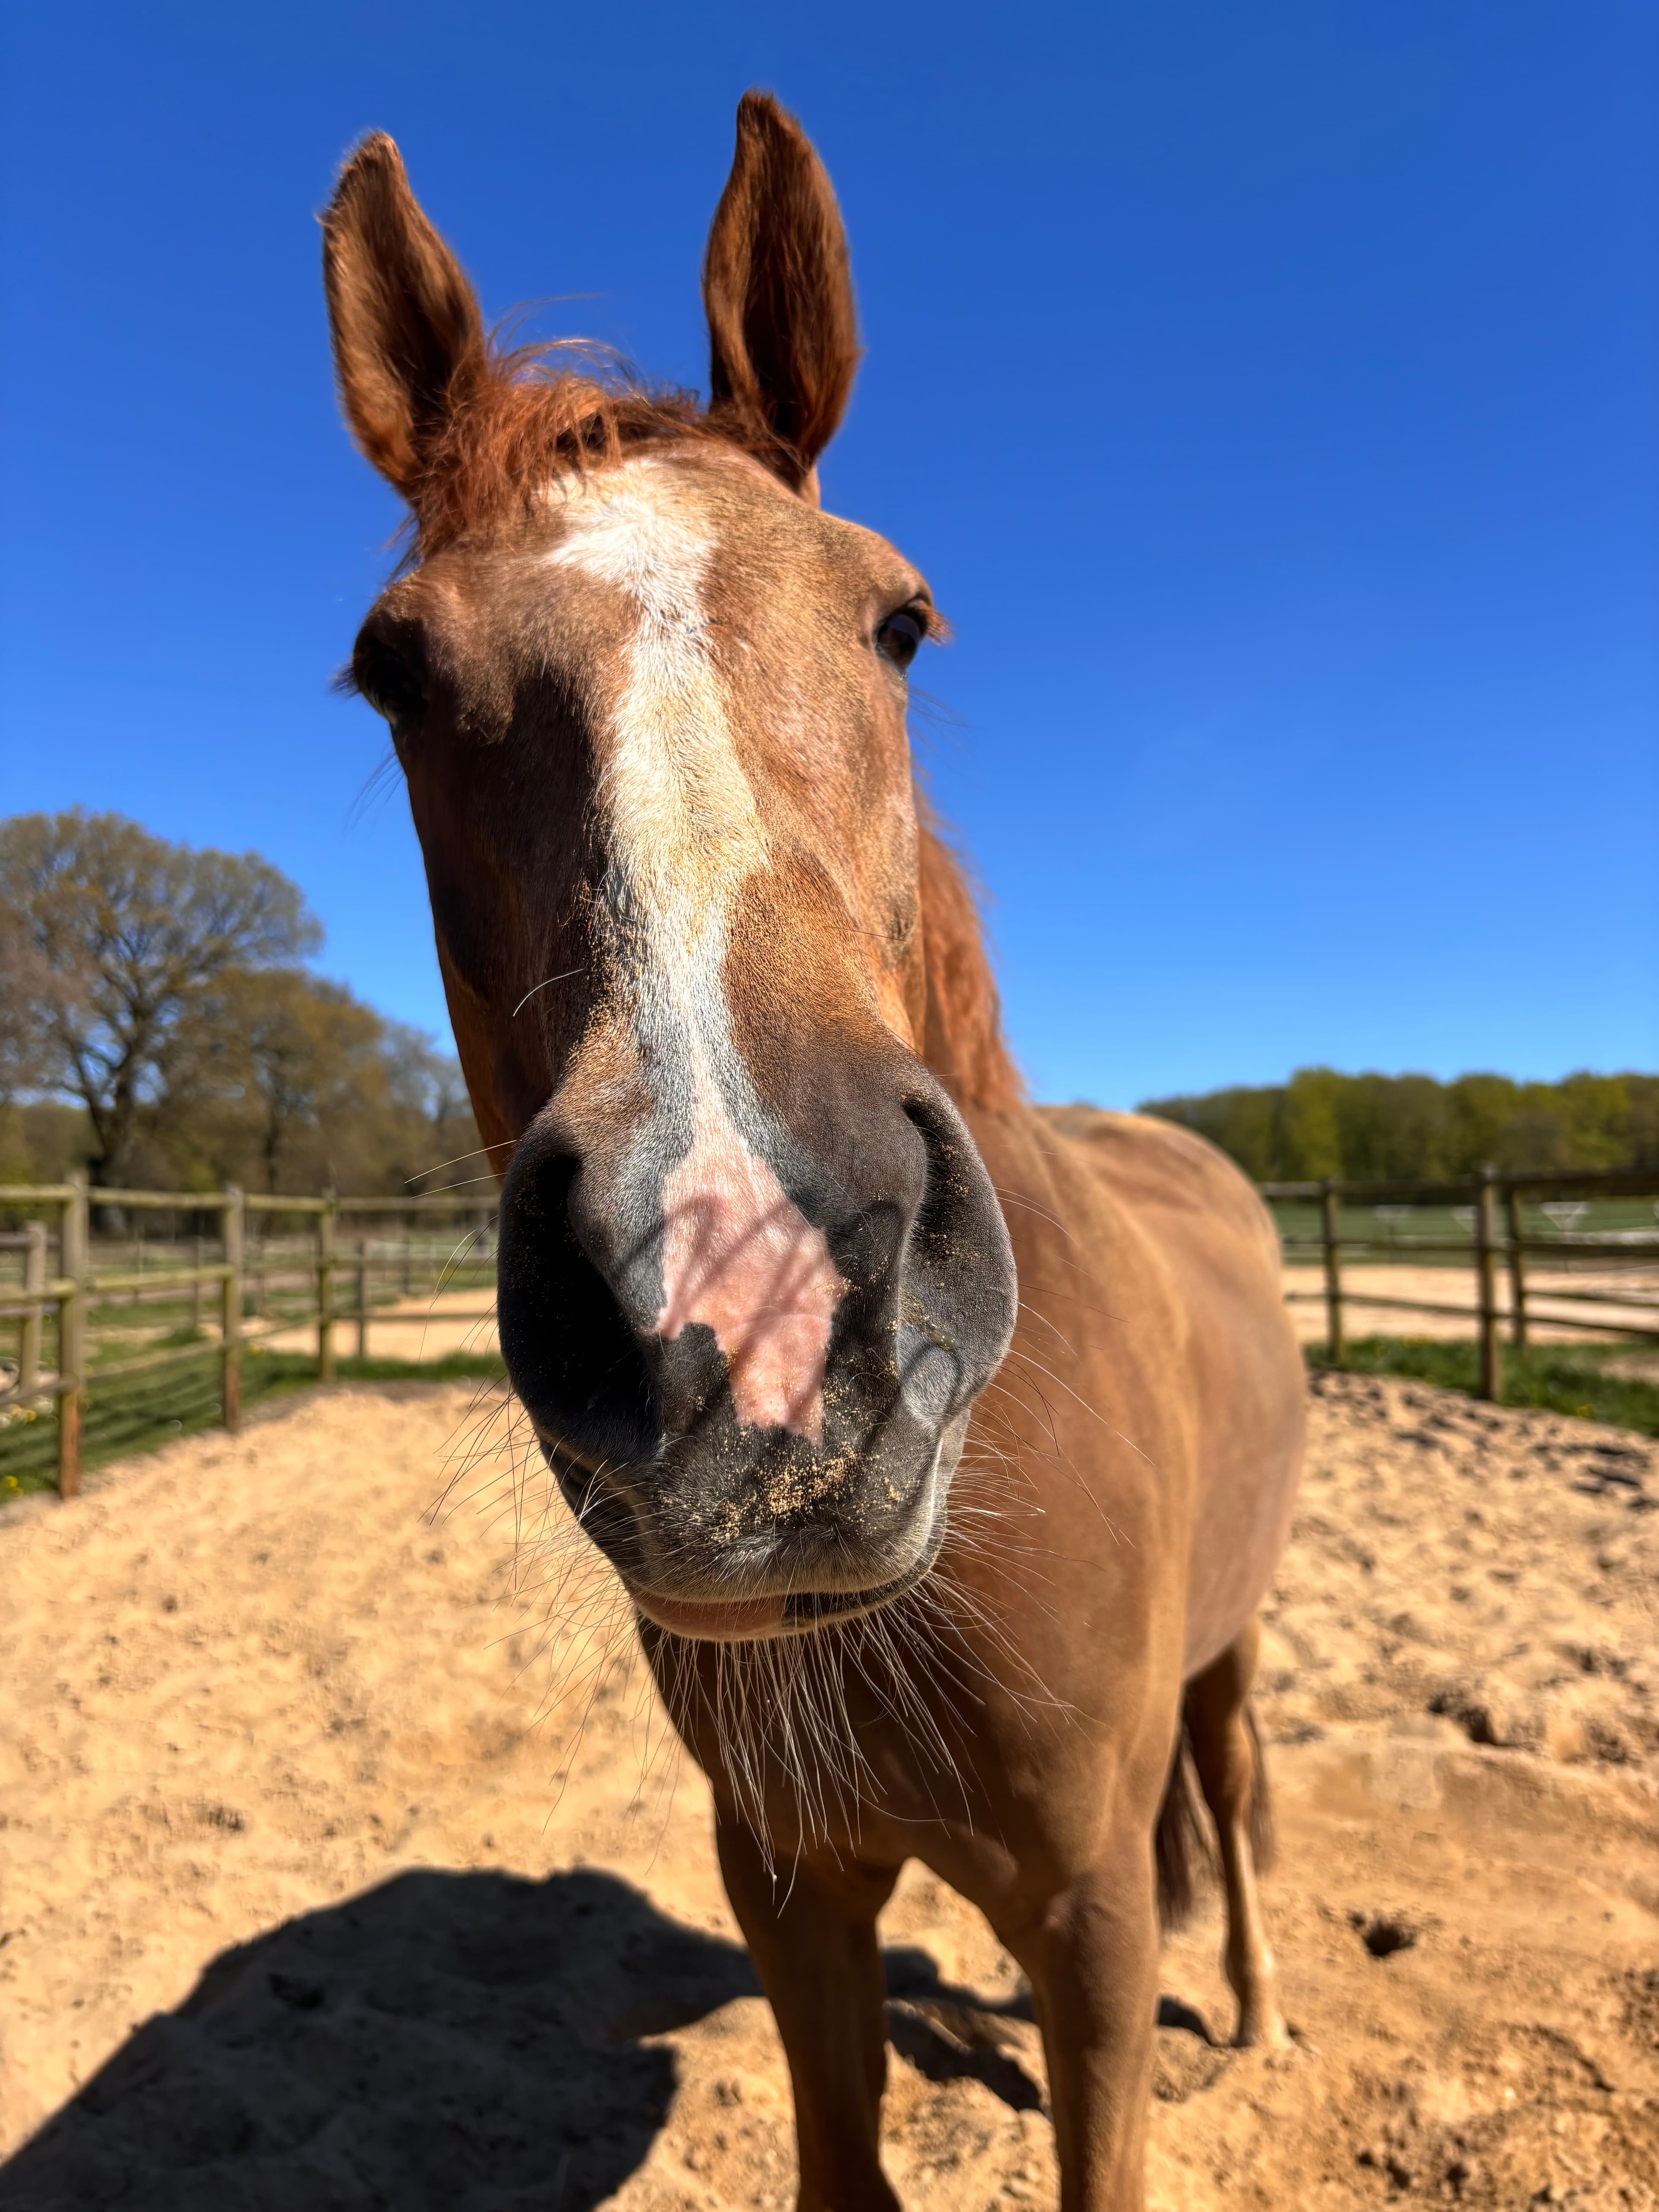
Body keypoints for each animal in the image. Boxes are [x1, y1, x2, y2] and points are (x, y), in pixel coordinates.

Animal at [322, 92, 1304, 2212]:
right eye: (393, 669)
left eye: (899, 618)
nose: (748, 1295)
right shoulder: (787, 1883)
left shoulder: (1094, 1910)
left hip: (1230, 1658)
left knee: (1236, 1782)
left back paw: (1265, 2009)